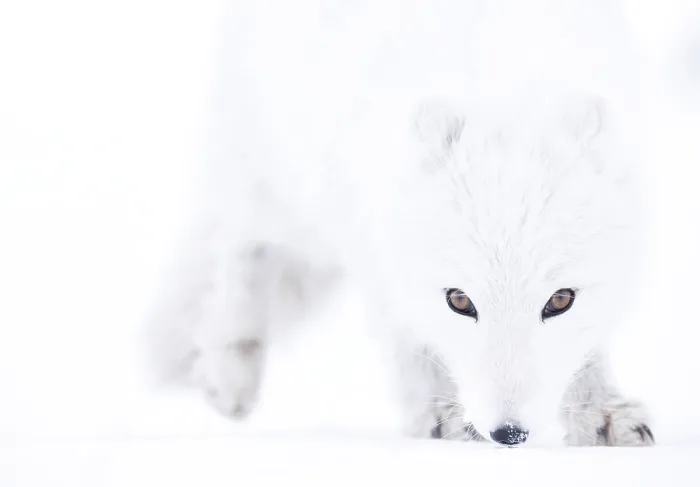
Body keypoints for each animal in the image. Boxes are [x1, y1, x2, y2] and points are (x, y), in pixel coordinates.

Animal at [147, 0, 655, 446]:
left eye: (560, 300)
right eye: (459, 300)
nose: (508, 434)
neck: (501, 86)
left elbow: (588, 348)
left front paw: (603, 413)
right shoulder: (374, 240)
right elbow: (411, 338)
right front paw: (441, 416)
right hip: (275, 184)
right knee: (240, 249)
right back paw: (231, 370)